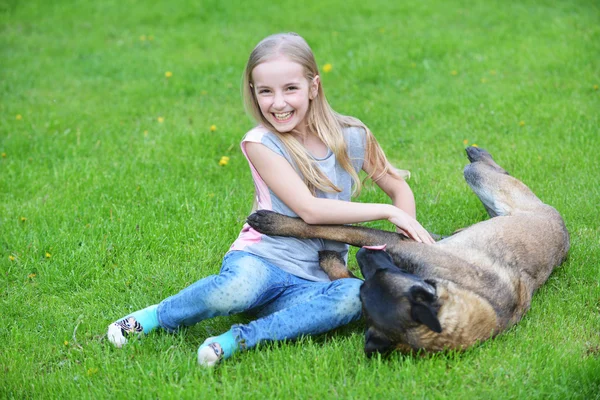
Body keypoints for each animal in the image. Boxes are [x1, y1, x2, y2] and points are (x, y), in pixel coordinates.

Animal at [246, 147, 568, 356]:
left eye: (381, 272)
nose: (363, 255)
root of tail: (562, 228)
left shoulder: (399, 244)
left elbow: (341, 229)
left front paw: (275, 223)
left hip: (484, 185)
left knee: (484, 171)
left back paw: (476, 155)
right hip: (474, 215)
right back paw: (477, 152)